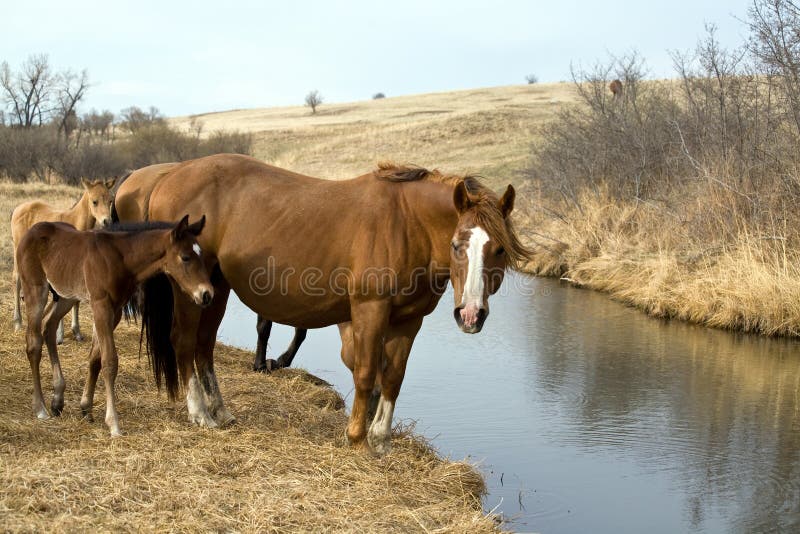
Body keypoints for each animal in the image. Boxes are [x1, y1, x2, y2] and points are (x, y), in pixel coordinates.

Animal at [11, 178, 116, 344]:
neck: (74, 221)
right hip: (17, 248)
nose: (107, 221)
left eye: (110, 200)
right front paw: (59, 335)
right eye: (94, 201)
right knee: (16, 278)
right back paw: (18, 322)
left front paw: (77, 332)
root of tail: (19, 207)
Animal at [16, 215, 212, 436]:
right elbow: (110, 361)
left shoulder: (115, 311)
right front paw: (114, 424)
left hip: (66, 295)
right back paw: (40, 408)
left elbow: (95, 358)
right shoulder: (101, 305)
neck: (121, 258)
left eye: (201, 256)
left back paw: (57, 399)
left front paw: (86, 408)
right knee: (34, 343)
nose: (207, 294)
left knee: (49, 326)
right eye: (186, 257)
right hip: (35, 289)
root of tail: (32, 230)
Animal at [114, 154, 531, 453]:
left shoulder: (409, 320)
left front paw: (381, 441)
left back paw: (221, 411)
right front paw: (357, 437)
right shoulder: (369, 311)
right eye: (458, 245)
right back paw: (200, 413)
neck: (406, 223)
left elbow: (393, 377)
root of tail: (168, 176)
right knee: (184, 342)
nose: (471, 315)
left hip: (215, 286)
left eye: (499, 249)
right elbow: (366, 373)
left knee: (203, 346)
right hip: (189, 290)